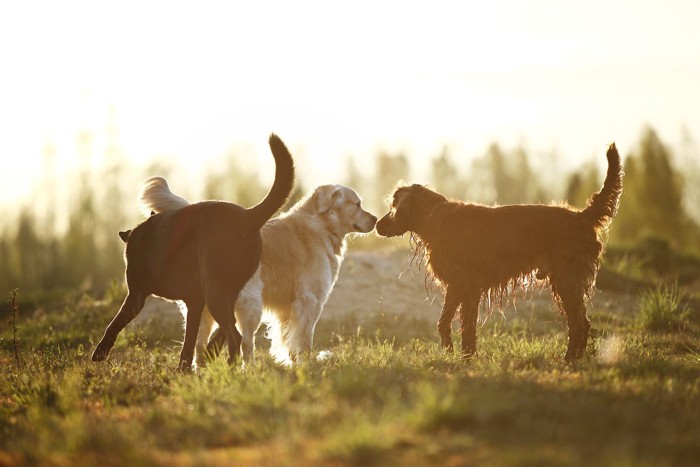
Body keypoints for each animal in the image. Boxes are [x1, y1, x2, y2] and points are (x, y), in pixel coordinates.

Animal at [91, 133, 296, 372]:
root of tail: (246, 217)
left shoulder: (136, 296)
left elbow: (114, 324)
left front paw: (100, 352)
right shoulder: (195, 302)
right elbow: (189, 339)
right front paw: (184, 368)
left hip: (215, 291)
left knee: (234, 334)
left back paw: (230, 368)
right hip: (225, 292)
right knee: (229, 329)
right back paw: (213, 356)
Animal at [378, 144, 624, 360]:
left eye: (393, 206)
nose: (378, 225)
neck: (436, 218)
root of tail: (583, 216)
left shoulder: (463, 284)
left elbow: (453, 324)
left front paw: (460, 354)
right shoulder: (464, 288)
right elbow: (458, 324)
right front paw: (465, 355)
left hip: (567, 280)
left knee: (579, 323)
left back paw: (569, 359)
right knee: (582, 323)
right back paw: (575, 358)